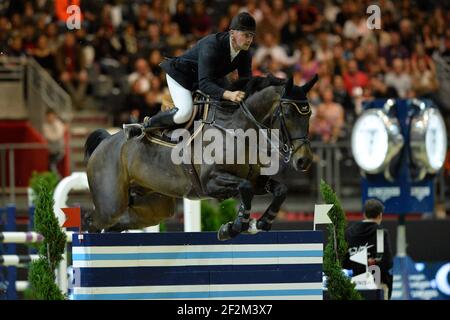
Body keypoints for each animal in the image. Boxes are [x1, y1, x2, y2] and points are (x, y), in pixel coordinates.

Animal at [83, 75, 316, 240]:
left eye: (309, 115)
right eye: (288, 113)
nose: (303, 160)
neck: (238, 129)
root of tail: (105, 141)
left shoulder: (256, 179)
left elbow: (280, 189)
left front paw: (261, 223)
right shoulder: (211, 182)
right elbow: (245, 188)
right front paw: (233, 228)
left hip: (154, 206)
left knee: (117, 224)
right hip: (111, 204)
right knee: (91, 221)